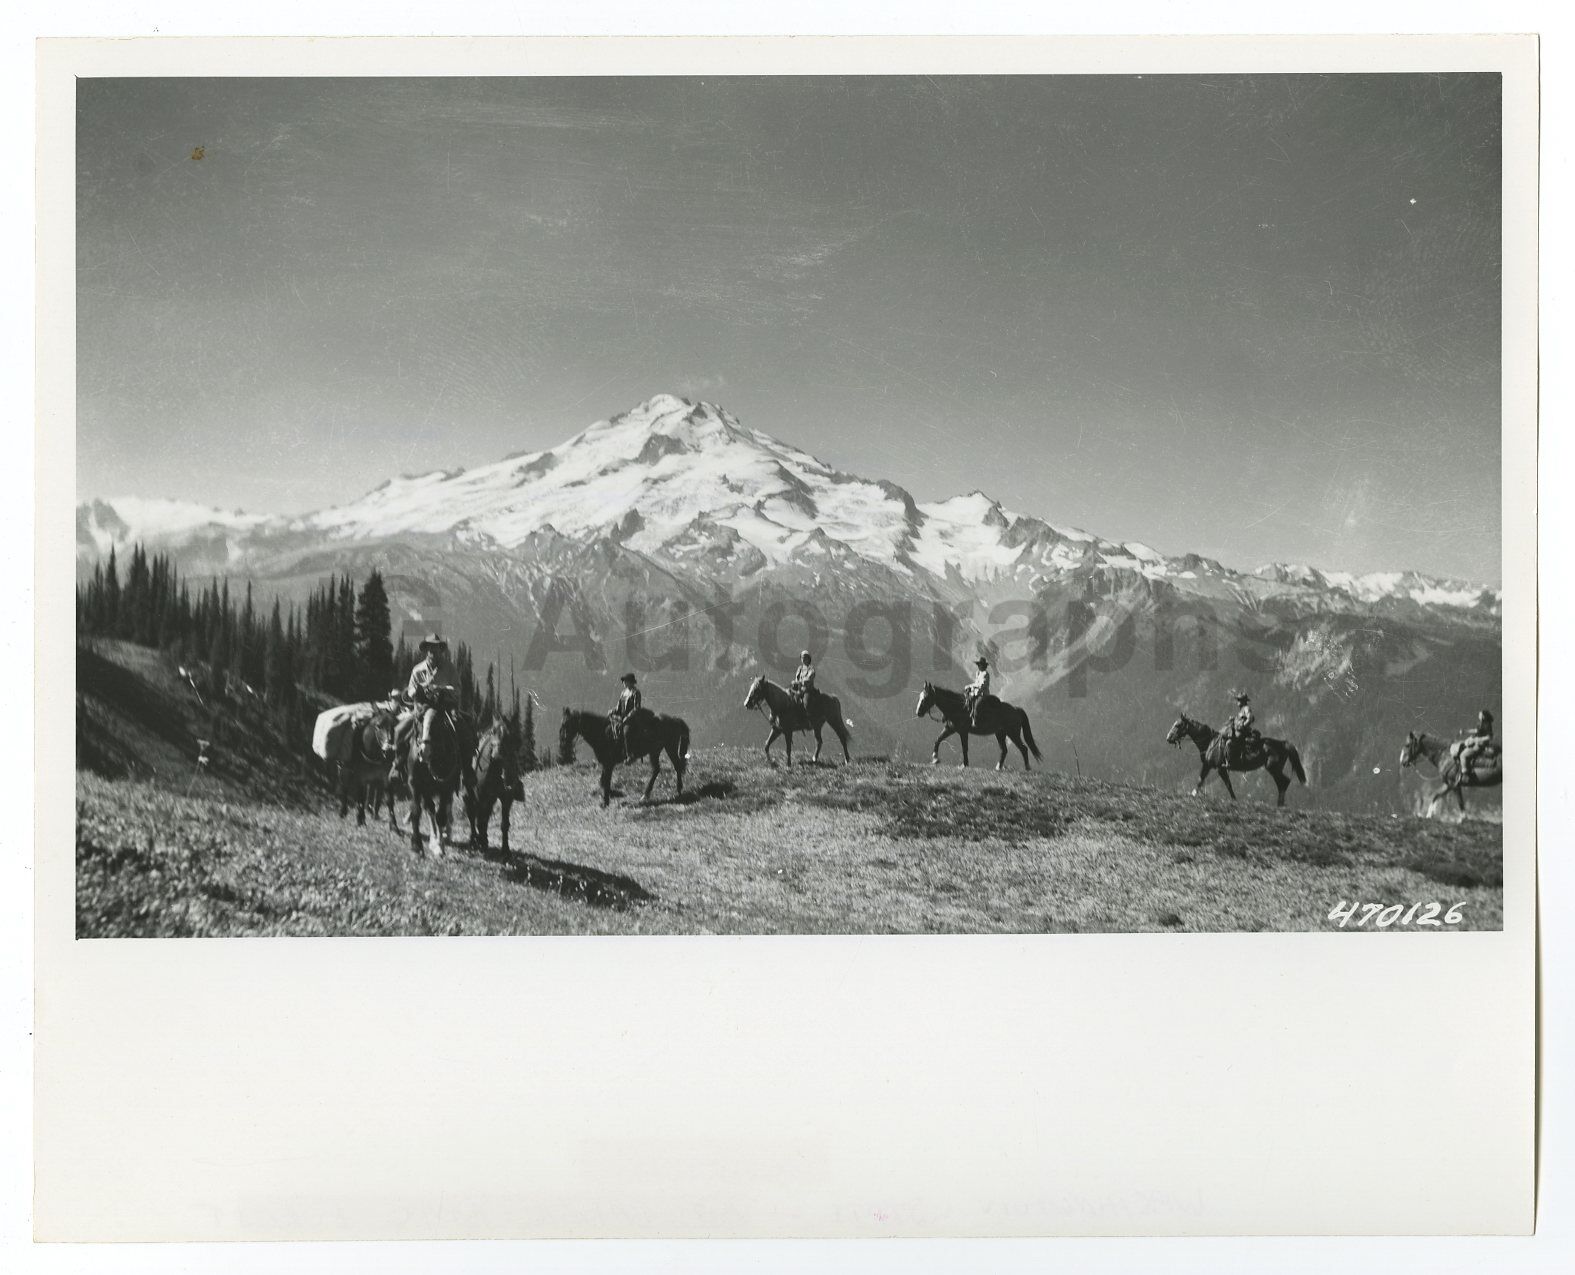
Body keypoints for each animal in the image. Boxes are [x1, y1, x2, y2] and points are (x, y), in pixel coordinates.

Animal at [463, 714, 526, 856]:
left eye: (512, 736)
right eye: (493, 732)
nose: (497, 756)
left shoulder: (506, 798)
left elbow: (504, 824)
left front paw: (506, 851)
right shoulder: (480, 796)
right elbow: (479, 820)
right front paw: (481, 843)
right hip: (469, 794)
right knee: (472, 814)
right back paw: (474, 841)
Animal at [563, 705, 693, 805]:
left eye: (566, 723)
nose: (564, 742)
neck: (603, 733)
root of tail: (674, 719)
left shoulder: (609, 764)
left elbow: (605, 782)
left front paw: (606, 802)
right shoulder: (605, 764)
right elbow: (602, 781)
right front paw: (612, 795)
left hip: (670, 746)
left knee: (677, 765)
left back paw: (679, 791)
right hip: (654, 751)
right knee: (657, 769)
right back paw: (645, 795)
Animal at [1171, 705, 1304, 805]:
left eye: (1178, 725)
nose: (1168, 738)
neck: (1210, 742)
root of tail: (1283, 743)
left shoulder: (1220, 769)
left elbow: (1228, 785)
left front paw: (1234, 799)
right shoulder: (1207, 765)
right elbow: (1200, 779)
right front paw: (1193, 794)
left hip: (1273, 768)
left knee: (1284, 782)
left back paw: (1280, 804)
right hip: (1274, 769)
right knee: (1282, 783)